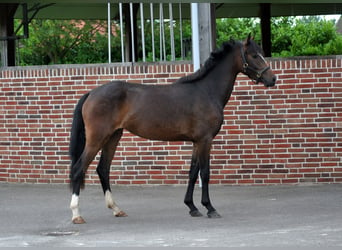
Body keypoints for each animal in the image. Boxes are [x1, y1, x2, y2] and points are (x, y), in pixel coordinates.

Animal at [69, 34, 278, 223]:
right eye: (254, 55)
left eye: (261, 52)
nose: (272, 79)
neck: (206, 91)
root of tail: (91, 93)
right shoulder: (205, 140)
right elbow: (205, 173)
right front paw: (210, 208)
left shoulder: (196, 142)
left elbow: (193, 173)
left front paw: (192, 207)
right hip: (97, 138)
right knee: (79, 169)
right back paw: (76, 214)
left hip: (113, 137)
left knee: (103, 169)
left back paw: (116, 209)